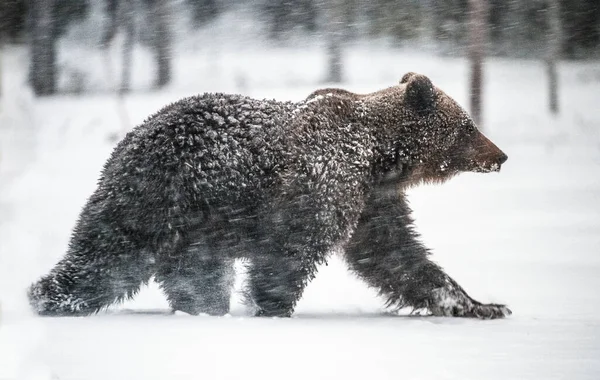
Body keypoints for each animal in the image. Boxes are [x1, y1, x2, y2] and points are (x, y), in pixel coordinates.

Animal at [27, 71, 506, 318]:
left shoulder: (372, 201)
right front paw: (274, 310)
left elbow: (396, 256)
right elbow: (289, 253)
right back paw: (50, 297)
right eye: (467, 126)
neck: (379, 158)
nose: (500, 155)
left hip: (197, 230)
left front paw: (479, 304)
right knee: (109, 254)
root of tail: (127, 139)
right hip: (160, 195)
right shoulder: (320, 183)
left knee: (197, 277)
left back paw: (202, 310)